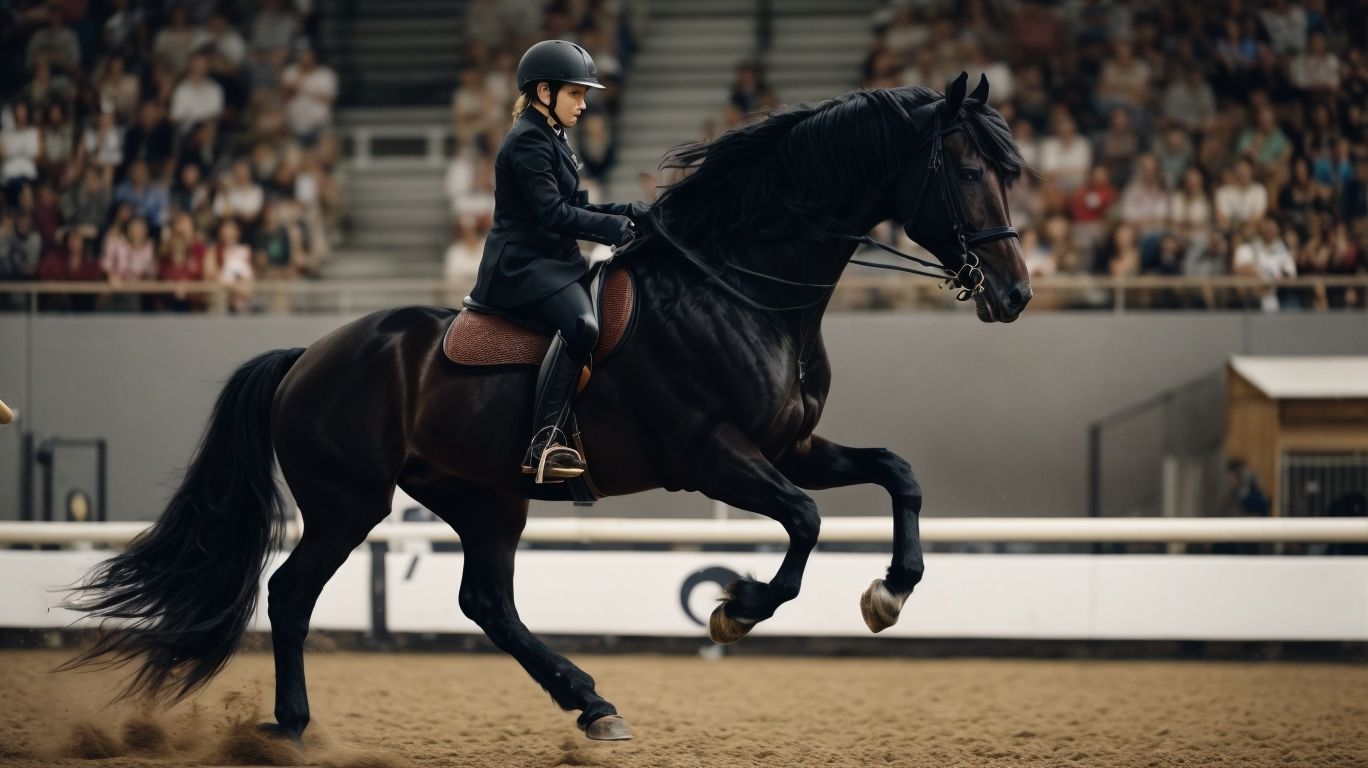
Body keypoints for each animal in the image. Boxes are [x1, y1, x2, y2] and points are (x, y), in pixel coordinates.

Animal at [61, 73, 1029, 743]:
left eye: (1009, 170)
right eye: (966, 168)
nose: (1015, 294)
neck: (741, 287)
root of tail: (309, 355)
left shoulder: (792, 444)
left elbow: (898, 476)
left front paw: (889, 594)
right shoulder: (715, 456)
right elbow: (802, 528)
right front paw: (734, 608)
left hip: (483, 496)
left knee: (486, 602)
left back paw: (592, 704)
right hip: (348, 502)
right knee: (294, 592)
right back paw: (294, 725)